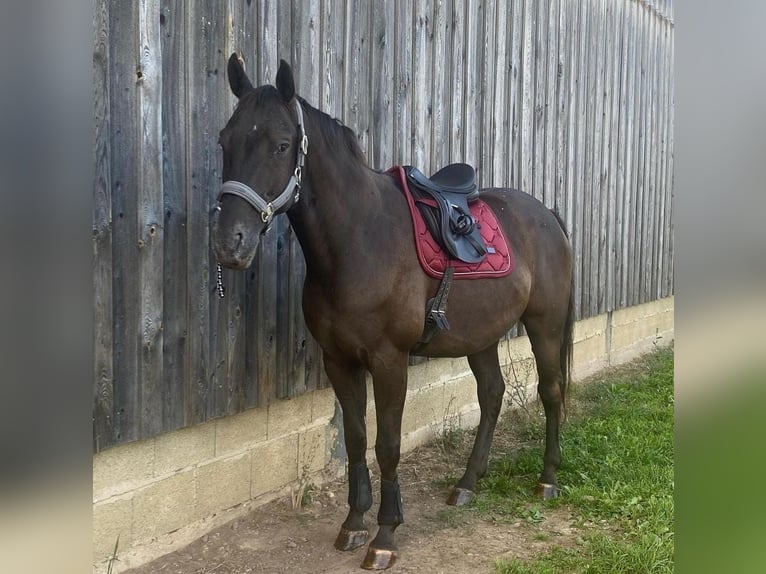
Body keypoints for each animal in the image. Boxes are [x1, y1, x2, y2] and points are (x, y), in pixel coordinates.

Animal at [213, 55, 572, 572]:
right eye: (225, 141)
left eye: (281, 145)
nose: (230, 243)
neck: (359, 240)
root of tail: (547, 214)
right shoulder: (339, 361)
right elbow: (356, 438)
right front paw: (353, 523)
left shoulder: (388, 361)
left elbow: (387, 444)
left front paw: (385, 534)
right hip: (480, 337)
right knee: (491, 395)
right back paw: (467, 484)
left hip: (545, 327)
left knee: (550, 392)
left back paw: (547, 479)